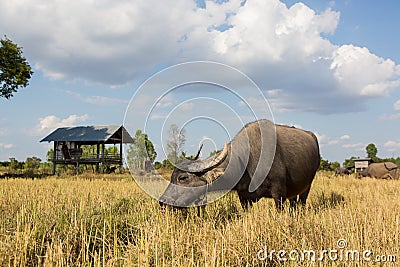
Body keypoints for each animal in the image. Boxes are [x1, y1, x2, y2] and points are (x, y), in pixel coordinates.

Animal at [158, 120, 320, 213]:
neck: (246, 162)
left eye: (183, 177)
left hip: (307, 186)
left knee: (302, 202)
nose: (162, 202)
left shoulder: (278, 192)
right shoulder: (244, 197)